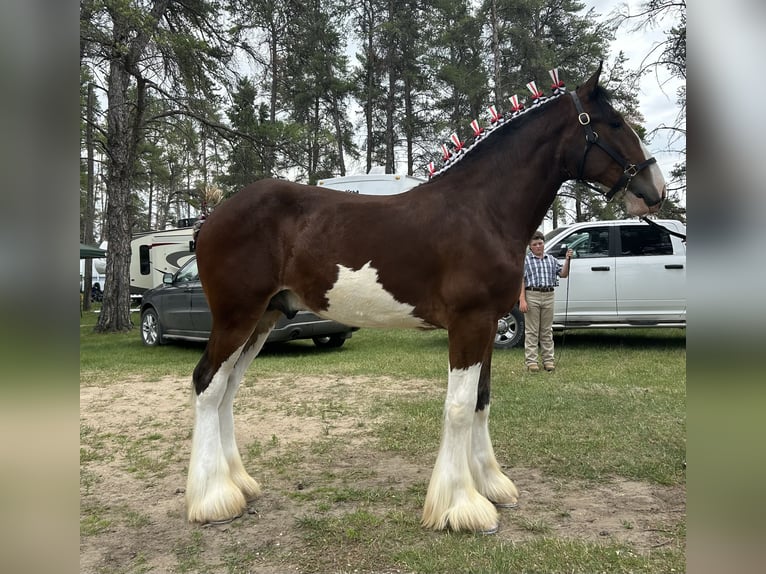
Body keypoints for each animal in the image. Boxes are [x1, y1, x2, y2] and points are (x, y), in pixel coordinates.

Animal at [184, 65, 664, 536]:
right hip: (236, 316)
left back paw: (240, 485)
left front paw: (491, 485)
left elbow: (481, 400)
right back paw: (213, 500)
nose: (654, 188)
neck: (482, 211)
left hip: (262, 320)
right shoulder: (470, 323)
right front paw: (462, 507)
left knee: (227, 389)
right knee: (208, 384)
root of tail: (211, 218)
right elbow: (459, 407)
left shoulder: (488, 324)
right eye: (614, 123)